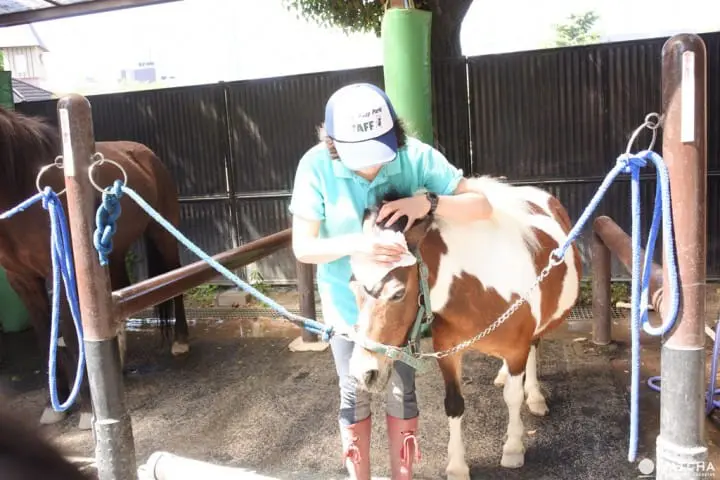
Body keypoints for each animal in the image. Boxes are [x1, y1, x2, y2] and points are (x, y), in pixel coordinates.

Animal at [0, 106, 190, 430]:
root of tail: (146, 154)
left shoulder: (65, 271)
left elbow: (71, 333)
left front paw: (89, 410)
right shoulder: (21, 280)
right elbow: (46, 335)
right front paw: (55, 405)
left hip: (162, 232)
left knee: (174, 276)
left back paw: (180, 342)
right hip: (114, 247)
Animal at [347, 176, 582, 479]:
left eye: (397, 293)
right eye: (352, 286)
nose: (363, 373)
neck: (477, 288)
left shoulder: (516, 350)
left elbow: (513, 397)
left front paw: (513, 448)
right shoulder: (448, 353)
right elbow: (454, 404)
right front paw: (457, 466)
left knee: (534, 346)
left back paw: (536, 396)